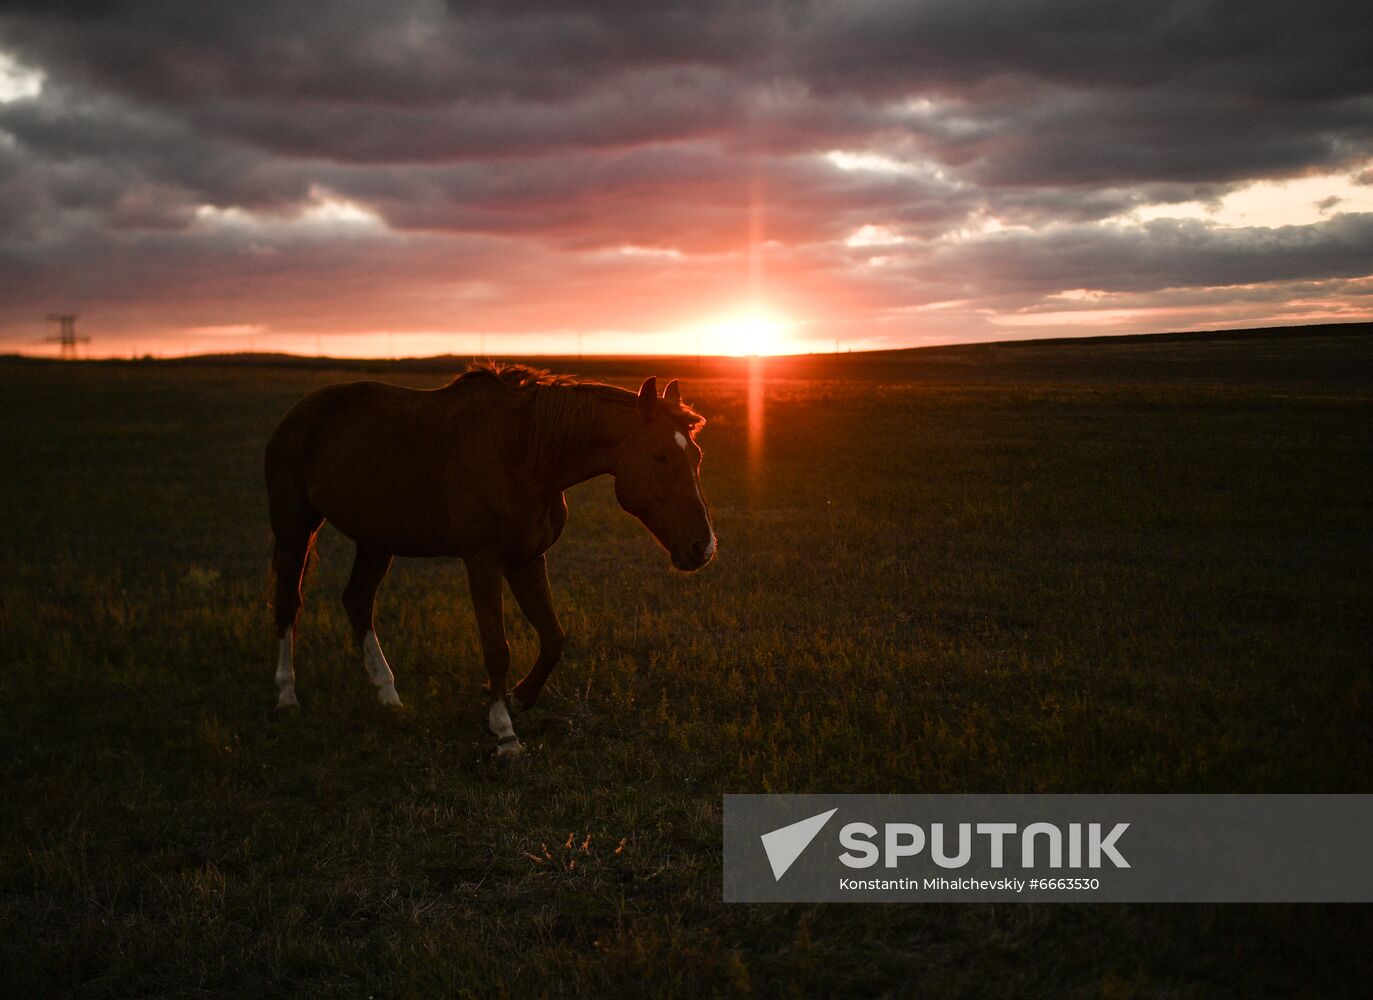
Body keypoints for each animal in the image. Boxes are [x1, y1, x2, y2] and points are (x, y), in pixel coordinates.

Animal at [267, 362, 719, 763]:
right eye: (660, 456)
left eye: (697, 455)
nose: (703, 547)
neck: (523, 453)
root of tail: (298, 413)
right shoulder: (483, 561)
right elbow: (497, 647)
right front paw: (504, 732)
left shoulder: (528, 559)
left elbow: (554, 638)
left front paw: (518, 698)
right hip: (295, 528)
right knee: (289, 603)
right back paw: (287, 695)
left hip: (376, 540)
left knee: (358, 601)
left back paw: (387, 694)